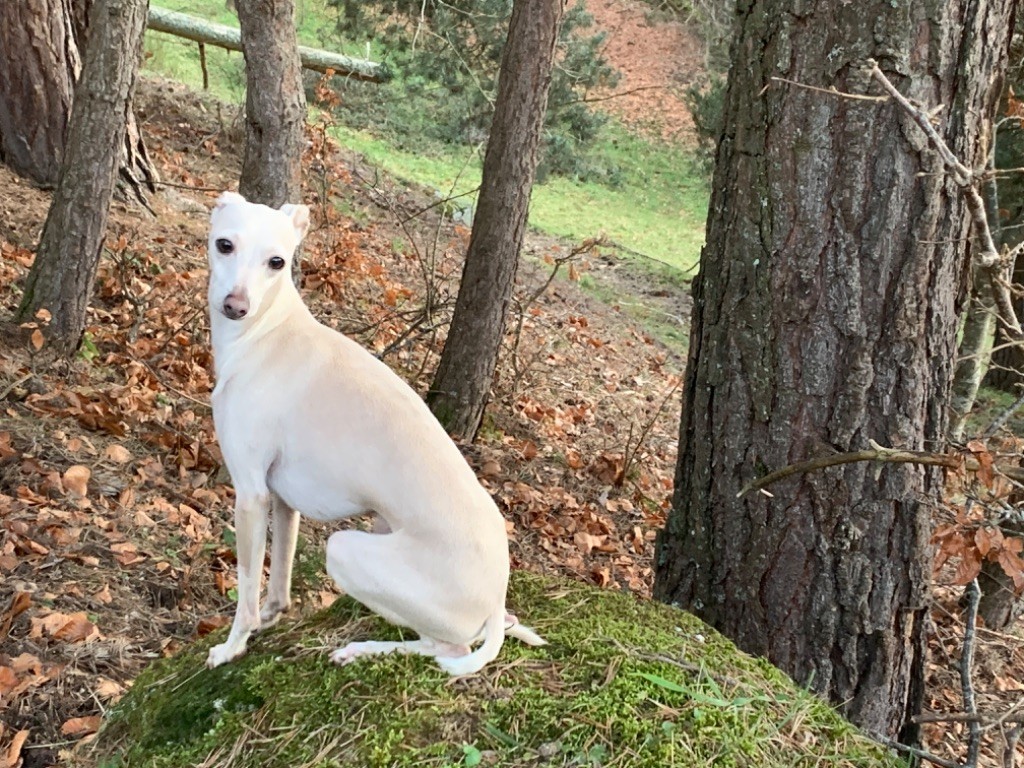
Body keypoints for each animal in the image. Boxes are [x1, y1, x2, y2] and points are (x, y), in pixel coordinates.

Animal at [203, 193, 548, 679]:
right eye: (225, 244)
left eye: (277, 261)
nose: (236, 305)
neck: (268, 333)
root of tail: (497, 596)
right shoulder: (282, 499)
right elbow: (280, 580)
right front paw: (272, 616)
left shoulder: (250, 494)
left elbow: (247, 591)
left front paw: (232, 646)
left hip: (345, 550)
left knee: (448, 649)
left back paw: (361, 650)